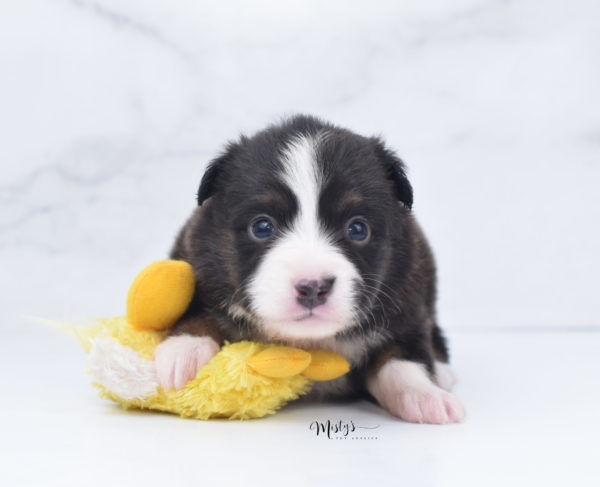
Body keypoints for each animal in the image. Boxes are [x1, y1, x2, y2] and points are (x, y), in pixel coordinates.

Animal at [154, 116, 464, 426]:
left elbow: (402, 360)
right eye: (262, 227)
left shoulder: (406, 302)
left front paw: (426, 396)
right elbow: (198, 311)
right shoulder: (196, 259)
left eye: (357, 229)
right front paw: (184, 353)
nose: (313, 287)